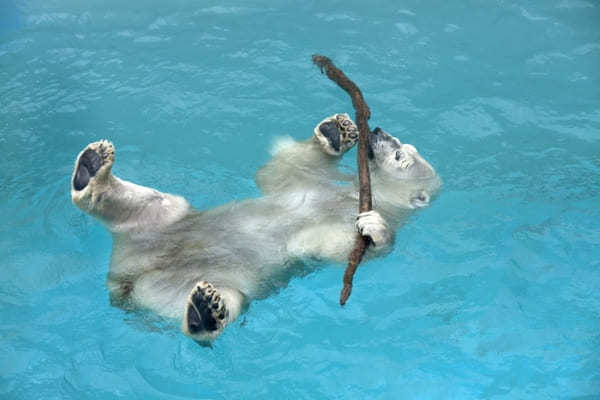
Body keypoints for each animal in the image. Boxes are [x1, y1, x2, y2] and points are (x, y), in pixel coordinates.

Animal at [70, 114, 440, 342]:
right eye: (402, 146)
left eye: (401, 156)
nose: (378, 131)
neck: (350, 194)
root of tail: (123, 283)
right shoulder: (310, 181)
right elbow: (281, 169)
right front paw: (337, 131)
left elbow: (331, 246)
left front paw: (375, 228)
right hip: (170, 223)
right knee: (156, 204)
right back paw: (91, 168)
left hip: (176, 287)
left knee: (228, 300)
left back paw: (205, 312)